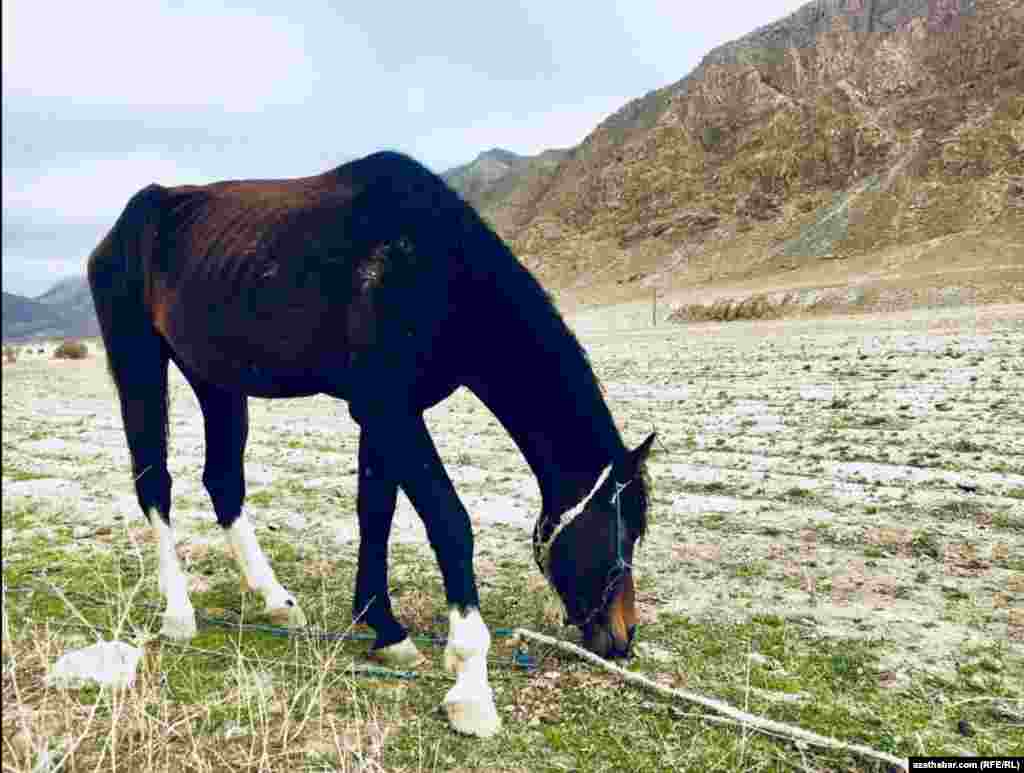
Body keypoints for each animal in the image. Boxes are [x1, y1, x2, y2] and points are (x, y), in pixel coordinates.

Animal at [88, 151, 655, 737]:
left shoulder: (384, 415)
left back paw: (275, 599)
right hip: (138, 362)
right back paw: (179, 612)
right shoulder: (388, 411)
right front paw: (471, 683)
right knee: (154, 482)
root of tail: (129, 222)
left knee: (223, 481)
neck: (438, 272)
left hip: (216, 380)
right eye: (624, 530)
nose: (623, 636)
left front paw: (383, 627)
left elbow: (375, 512)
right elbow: (449, 522)